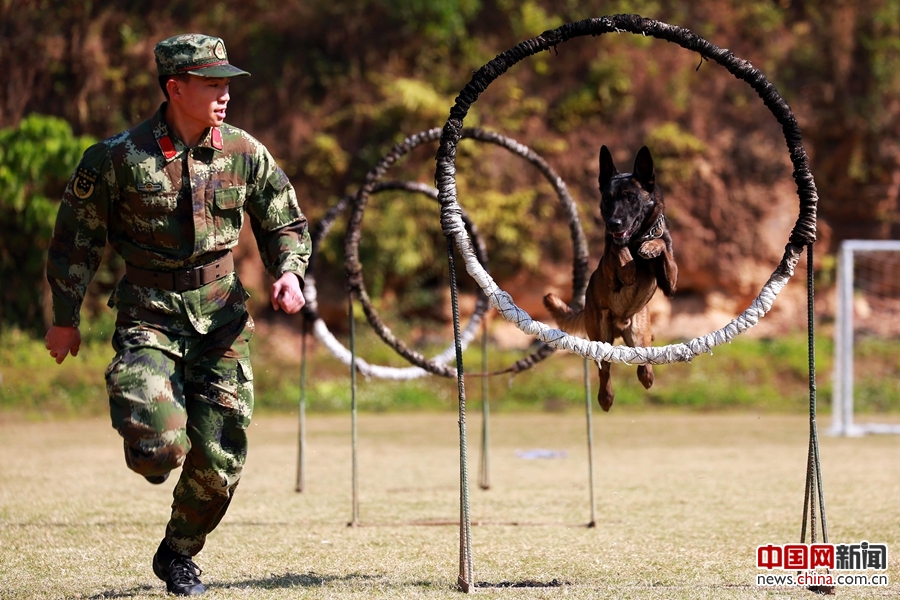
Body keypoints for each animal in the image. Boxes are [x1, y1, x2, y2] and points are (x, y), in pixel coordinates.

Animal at [544, 145, 680, 410]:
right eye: (607, 198)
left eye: (631, 198)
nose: (613, 222)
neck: (637, 236)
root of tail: (619, 327)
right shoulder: (612, 271)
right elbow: (619, 251)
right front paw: (630, 263)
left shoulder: (670, 283)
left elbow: (662, 246)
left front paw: (651, 247)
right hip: (600, 333)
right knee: (604, 369)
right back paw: (605, 397)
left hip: (639, 335)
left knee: (644, 366)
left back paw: (646, 373)